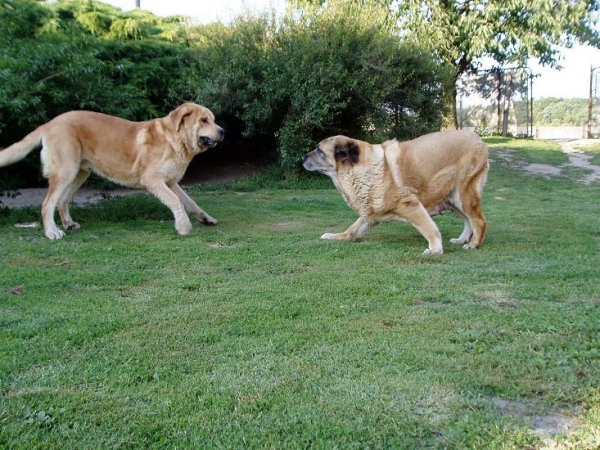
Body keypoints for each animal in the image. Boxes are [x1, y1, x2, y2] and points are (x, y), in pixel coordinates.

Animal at [0, 103, 224, 239]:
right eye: (204, 120)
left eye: (213, 119)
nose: (222, 131)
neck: (176, 138)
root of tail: (48, 123)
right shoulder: (153, 179)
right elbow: (176, 201)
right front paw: (184, 227)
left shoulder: (169, 182)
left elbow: (190, 202)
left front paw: (206, 219)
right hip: (65, 170)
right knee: (47, 203)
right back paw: (52, 232)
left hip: (79, 173)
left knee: (62, 201)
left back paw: (69, 224)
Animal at [302, 130, 490, 253]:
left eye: (319, 150)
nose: (302, 158)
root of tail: (477, 138)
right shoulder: (370, 214)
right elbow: (352, 230)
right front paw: (334, 236)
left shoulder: (410, 205)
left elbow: (430, 229)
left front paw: (435, 249)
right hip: (452, 200)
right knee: (468, 221)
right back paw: (462, 239)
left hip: (463, 195)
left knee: (479, 221)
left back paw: (473, 244)